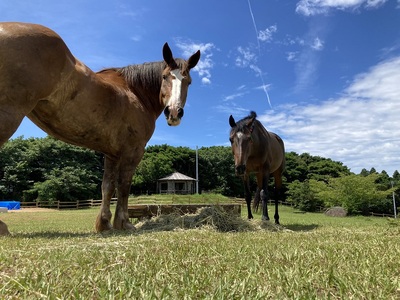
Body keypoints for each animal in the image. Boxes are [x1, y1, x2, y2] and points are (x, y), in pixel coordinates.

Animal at [0, 22, 200, 236]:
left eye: (188, 82)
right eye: (164, 77)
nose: (174, 112)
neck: (135, 92)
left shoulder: (111, 154)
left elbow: (108, 187)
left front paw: (104, 224)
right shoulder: (132, 151)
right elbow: (124, 185)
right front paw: (124, 222)